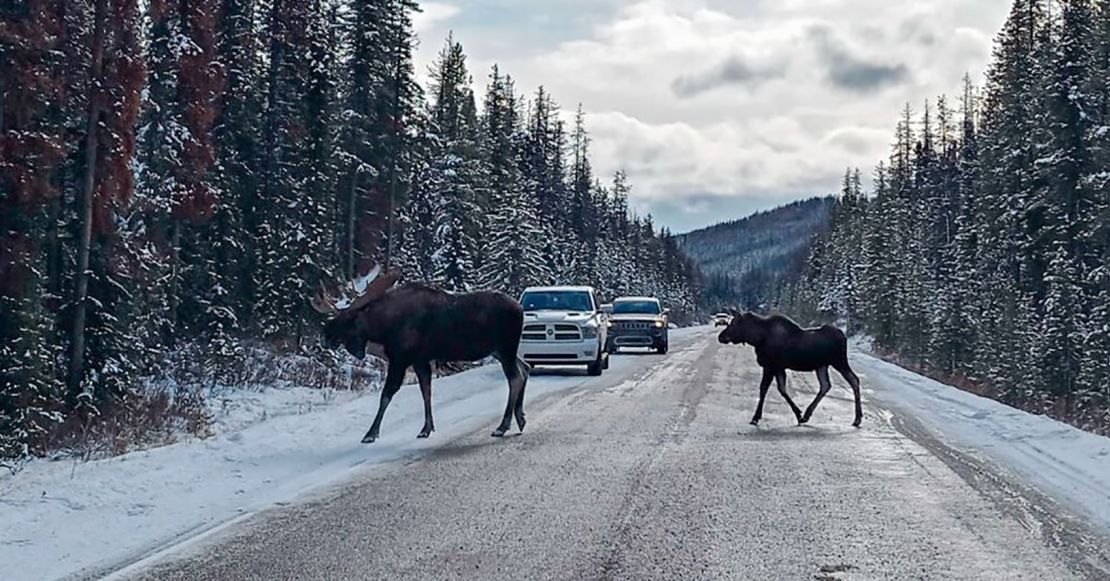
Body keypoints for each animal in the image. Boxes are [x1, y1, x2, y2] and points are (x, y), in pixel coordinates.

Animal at [310, 265, 530, 444]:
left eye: (349, 318)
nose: (325, 335)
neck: (383, 328)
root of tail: (520, 308)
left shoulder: (400, 359)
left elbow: (386, 395)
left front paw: (370, 433)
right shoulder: (420, 360)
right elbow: (426, 390)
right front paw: (426, 428)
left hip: (505, 347)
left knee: (515, 377)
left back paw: (503, 426)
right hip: (501, 350)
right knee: (525, 368)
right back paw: (520, 418)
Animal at [714, 311, 861, 428]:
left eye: (734, 324)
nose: (721, 337)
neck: (757, 338)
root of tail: (843, 336)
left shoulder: (770, 366)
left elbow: (763, 389)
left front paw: (755, 418)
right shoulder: (778, 368)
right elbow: (782, 389)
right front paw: (799, 415)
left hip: (839, 361)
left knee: (854, 379)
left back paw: (857, 419)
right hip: (821, 366)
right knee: (826, 385)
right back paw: (807, 414)